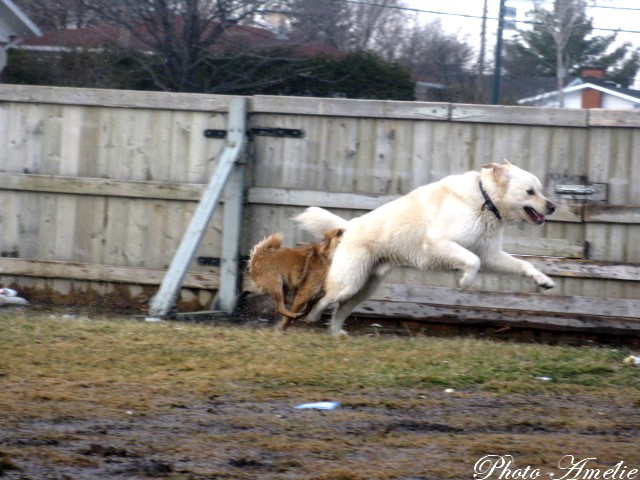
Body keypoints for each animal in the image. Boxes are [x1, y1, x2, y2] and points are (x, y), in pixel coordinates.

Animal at [296, 159, 556, 336]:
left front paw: (543, 280)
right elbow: (473, 262)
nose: (552, 207)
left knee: (340, 308)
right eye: (530, 192)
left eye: (540, 190)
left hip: (364, 288)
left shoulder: (490, 254)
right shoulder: (438, 243)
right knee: (323, 299)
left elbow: (523, 264)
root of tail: (350, 225)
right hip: (349, 283)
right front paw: (464, 281)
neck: (486, 200)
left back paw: (336, 333)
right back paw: (311, 318)